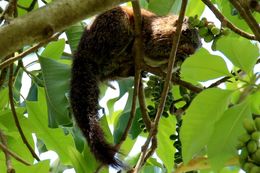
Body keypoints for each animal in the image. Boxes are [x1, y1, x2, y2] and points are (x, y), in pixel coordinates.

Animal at [69, 6, 201, 168]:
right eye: (186, 32)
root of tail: (82, 52)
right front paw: (178, 55)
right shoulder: (155, 34)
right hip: (113, 27)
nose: (190, 52)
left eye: (197, 46)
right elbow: (153, 49)